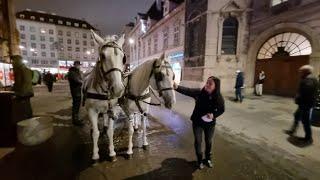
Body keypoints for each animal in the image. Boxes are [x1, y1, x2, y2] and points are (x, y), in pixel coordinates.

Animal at [83, 30, 125, 162]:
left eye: (123, 58)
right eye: (102, 56)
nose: (118, 89)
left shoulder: (112, 109)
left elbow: (110, 131)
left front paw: (112, 152)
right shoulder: (92, 110)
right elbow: (96, 133)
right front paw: (95, 155)